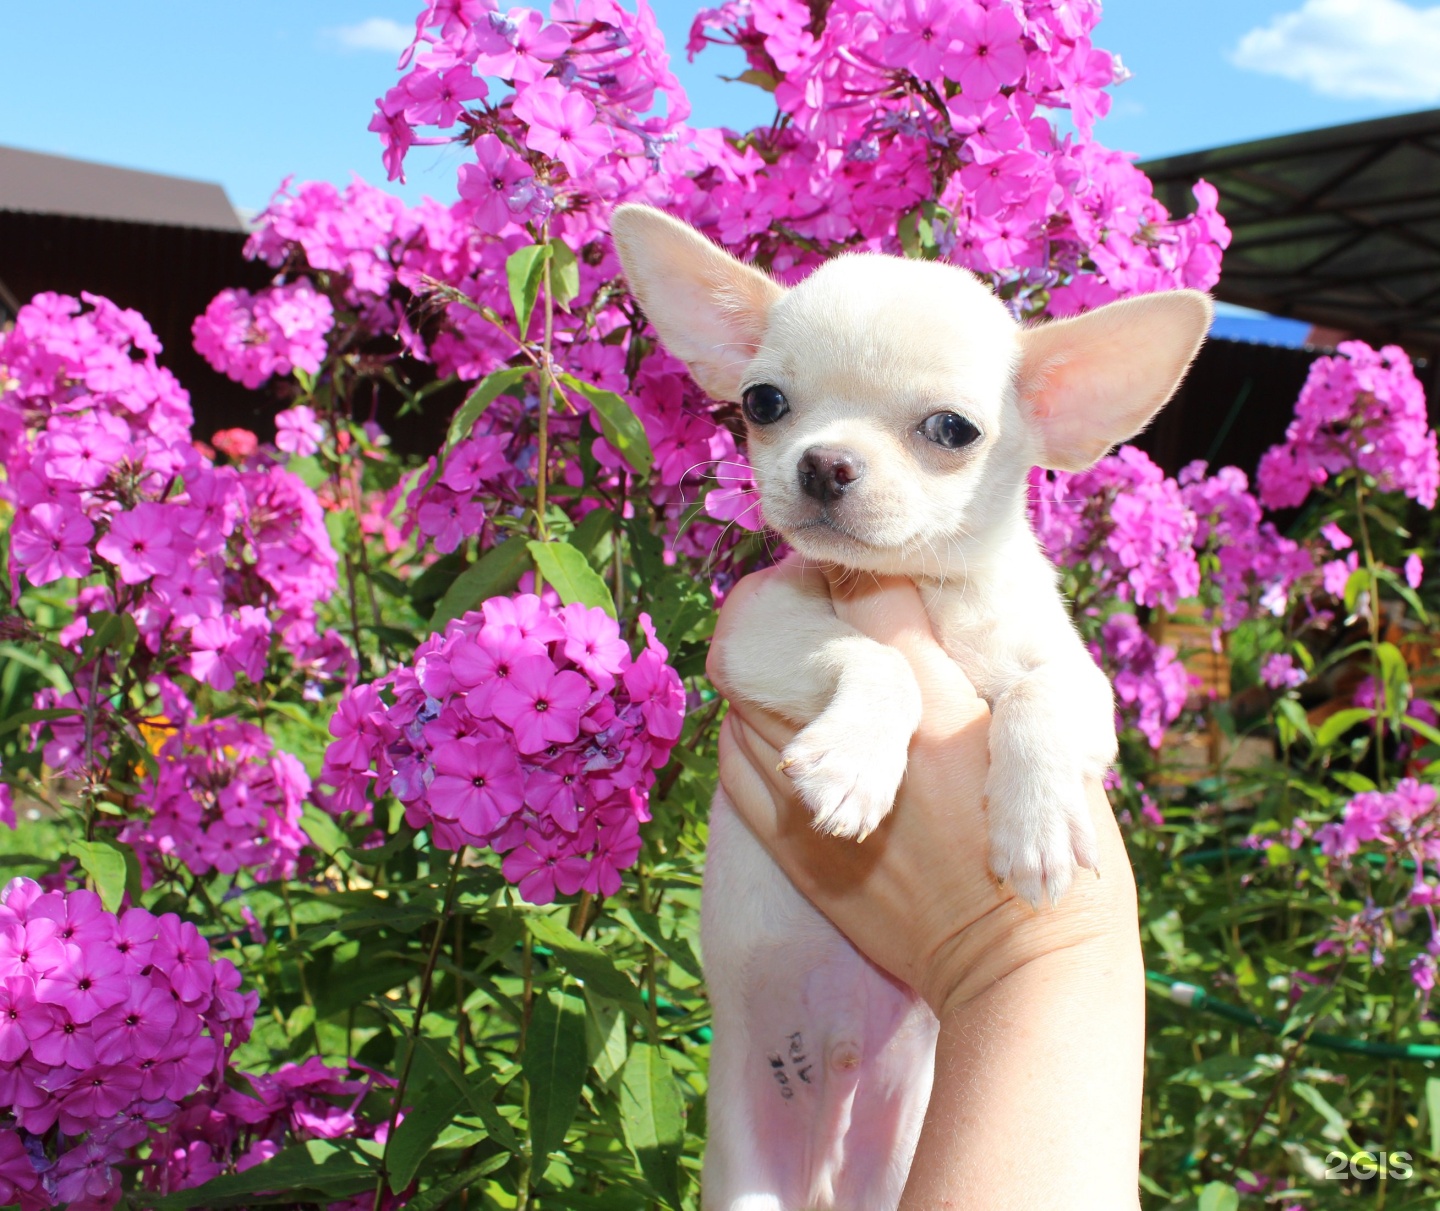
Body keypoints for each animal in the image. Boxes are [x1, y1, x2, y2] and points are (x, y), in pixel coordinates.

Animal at [607, 205, 1203, 1209]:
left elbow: (1039, 691)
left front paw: (1037, 822)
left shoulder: (1080, 681)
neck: (926, 588)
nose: (823, 463)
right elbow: (880, 657)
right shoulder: (757, 632)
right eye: (765, 403)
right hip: (745, 1178)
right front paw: (855, 763)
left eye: (951, 429)